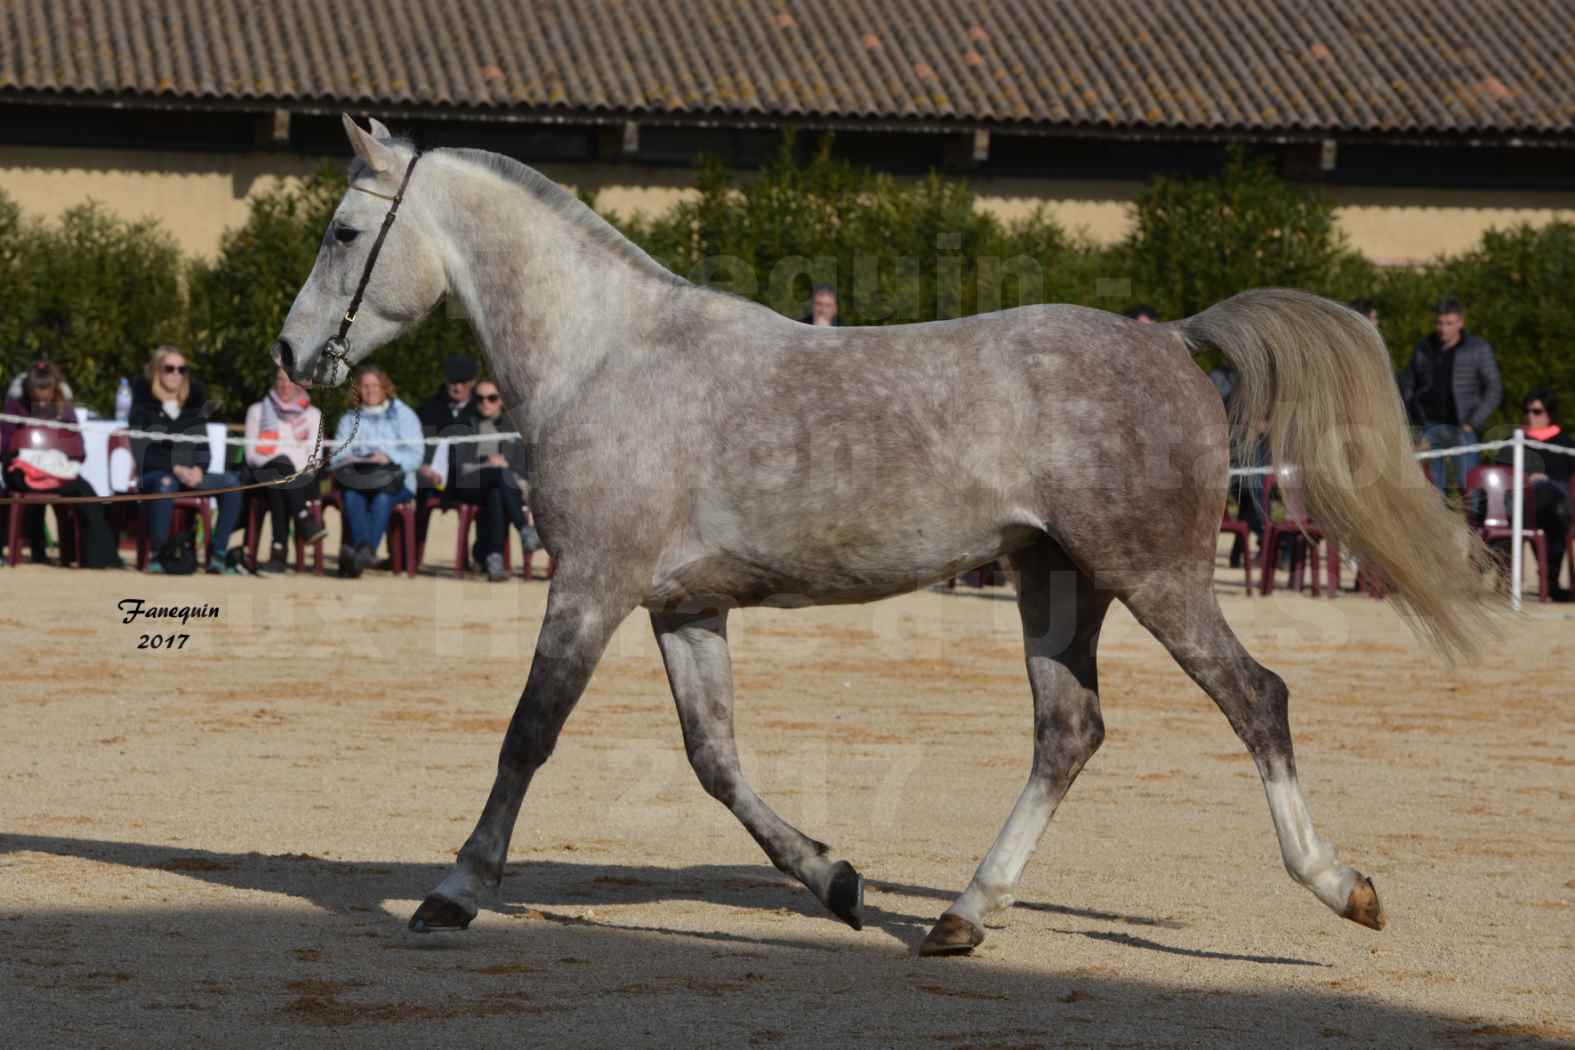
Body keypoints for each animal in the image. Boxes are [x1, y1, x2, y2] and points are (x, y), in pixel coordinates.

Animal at [277, 118, 1493, 957]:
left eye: (344, 232)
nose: (293, 356)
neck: (611, 356)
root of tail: (1169, 341)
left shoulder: (591, 584)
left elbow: (528, 736)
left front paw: (452, 893)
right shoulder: (683, 607)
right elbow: (716, 762)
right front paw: (837, 881)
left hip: (1155, 577)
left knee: (1256, 701)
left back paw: (1340, 886)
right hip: (1056, 584)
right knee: (1069, 733)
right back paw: (961, 915)